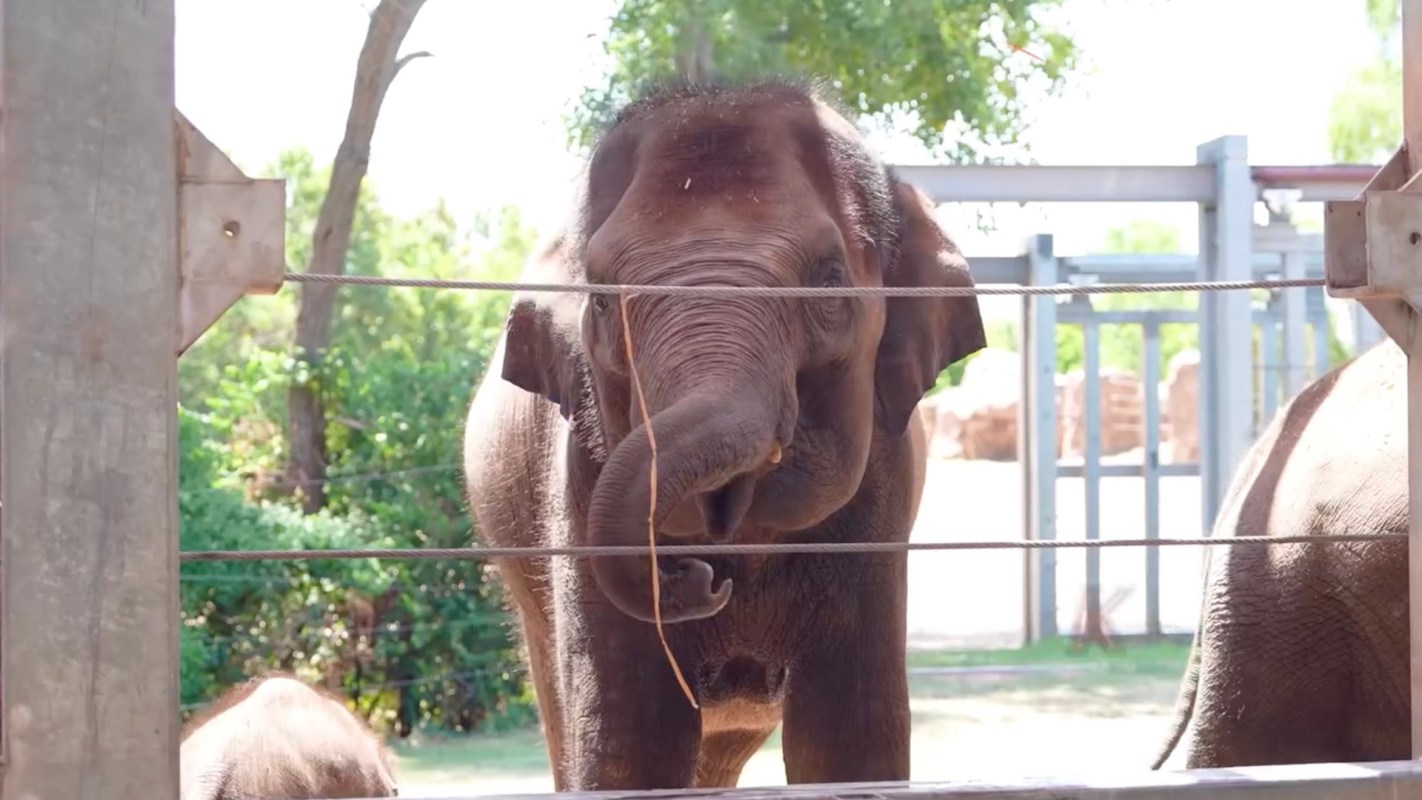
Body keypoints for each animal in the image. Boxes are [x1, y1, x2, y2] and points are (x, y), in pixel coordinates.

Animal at [461, 78, 986, 791]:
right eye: (601, 299)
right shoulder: (578, 477)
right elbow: (630, 741)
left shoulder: (883, 500)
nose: (694, 577)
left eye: (828, 281)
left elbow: (848, 738)